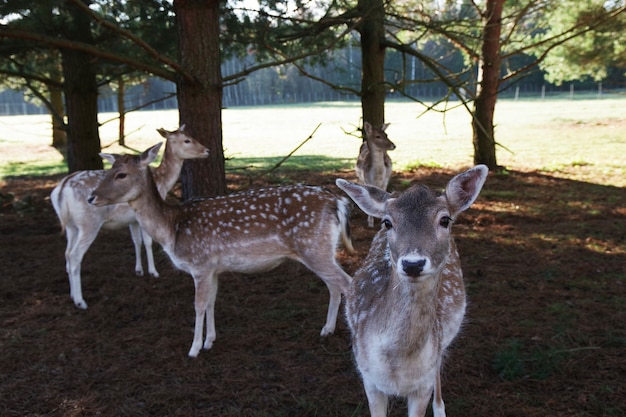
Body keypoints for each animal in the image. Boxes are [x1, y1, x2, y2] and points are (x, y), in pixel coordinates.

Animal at [51, 125, 207, 310]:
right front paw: (153, 272)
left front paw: (139, 270)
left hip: (71, 226)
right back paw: (80, 301)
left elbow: (136, 241)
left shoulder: (131, 220)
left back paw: (72, 295)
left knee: (67, 253)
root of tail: (61, 189)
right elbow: (147, 241)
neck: (162, 183)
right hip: (89, 223)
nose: (206, 150)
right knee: (75, 256)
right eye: (187, 140)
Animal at [86, 144, 354, 358]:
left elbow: (198, 305)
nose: (91, 197)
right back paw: (327, 330)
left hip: (314, 247)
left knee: (347, 283)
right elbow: (212, 301)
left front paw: (193, 349)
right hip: (323, 249)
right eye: (107, 171)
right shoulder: (213, 269)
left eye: (121, 174)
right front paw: (209, 341)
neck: (172, 229)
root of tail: (337, 202)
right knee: (334, 285)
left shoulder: (199, 264)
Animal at [336, 163, 488, 416]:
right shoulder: (368, 378)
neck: (397, 366)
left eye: (445, 220)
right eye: (387, 222)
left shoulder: (422, 385)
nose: (413, 263)